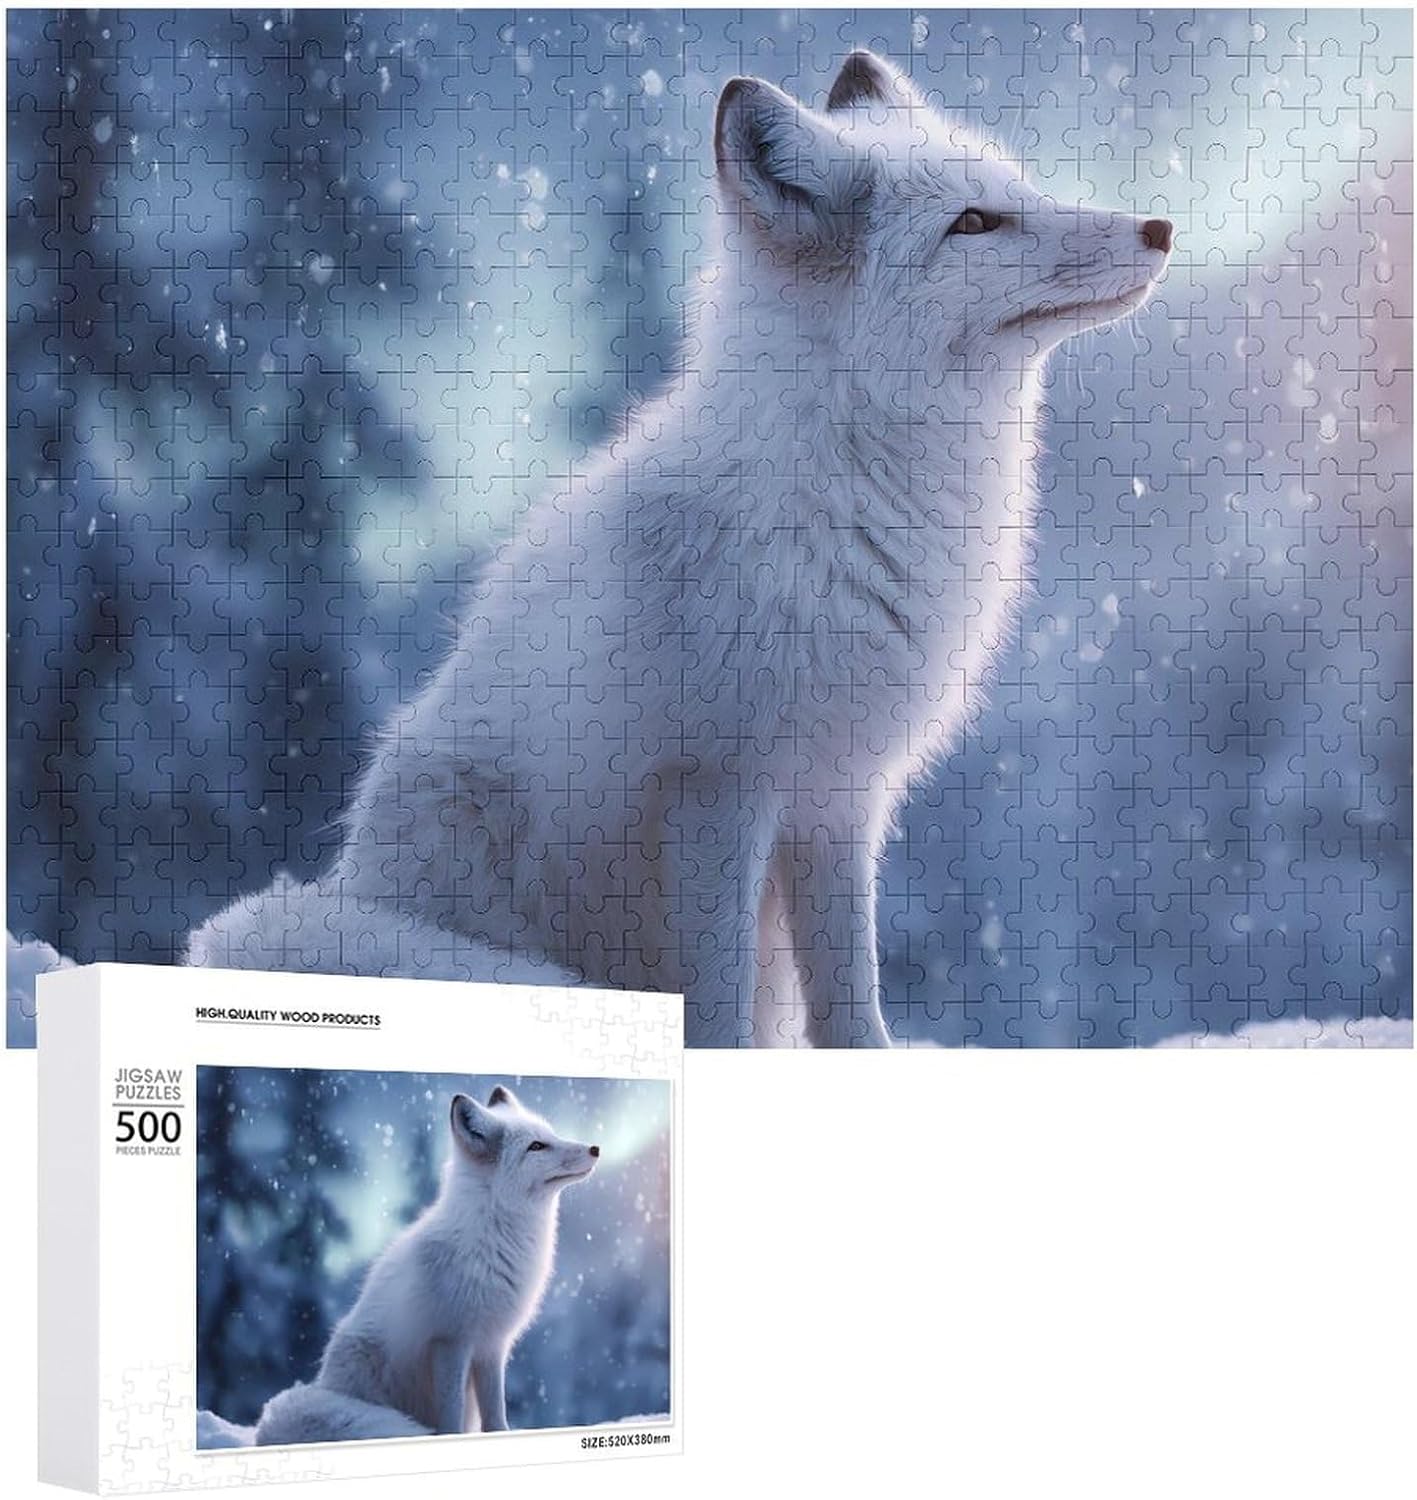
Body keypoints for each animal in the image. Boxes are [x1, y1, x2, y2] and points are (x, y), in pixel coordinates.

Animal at [186, 49, 1172, 1047]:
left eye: (1020, 190)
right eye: (973, 223)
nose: (1160, 226)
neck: (856, 499)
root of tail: (351, 884)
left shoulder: (837, 798)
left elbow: (850, 1001)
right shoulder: (717, 792)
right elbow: (719, 999)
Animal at [250, 1087, 599, 1445]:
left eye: (551, 1134)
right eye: (536, 1146)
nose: (595, 1148)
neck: (495, 1238)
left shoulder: (491, 1343)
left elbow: (495, 1413)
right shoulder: (450, 1341)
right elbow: (452, 1412)